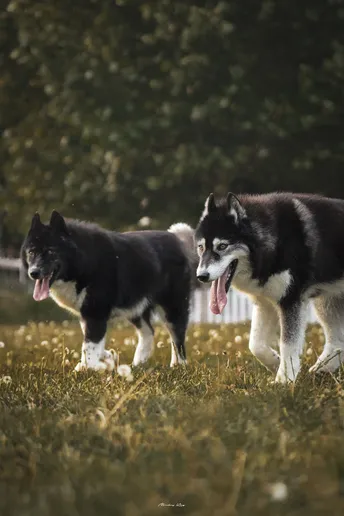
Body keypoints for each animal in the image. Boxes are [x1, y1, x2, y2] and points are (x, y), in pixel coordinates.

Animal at [20, 212, 195, 372]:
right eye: (31, 252)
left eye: (50, 251)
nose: (33, 272)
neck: (84, 260)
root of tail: (176, 240)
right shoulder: (87, 315)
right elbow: (91, 342)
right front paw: (105, 357)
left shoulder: (95, 312)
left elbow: (90, 344)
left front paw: (89, 368)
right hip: (135, 308)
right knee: (148, 332)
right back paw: (138, 364)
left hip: (172, 307)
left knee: (177, 337)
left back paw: (179, 365)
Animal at [196, 192, 344, 382]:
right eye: (201, 247)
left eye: (222, 246)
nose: (201, 276)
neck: (274, 239)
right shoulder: (264, 302)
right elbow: (255, 345)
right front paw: (276, 362)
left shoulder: (291, 300)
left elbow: (288, 343)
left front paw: (284, 380)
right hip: (326, 302)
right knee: (337, 341)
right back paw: (322, 370)